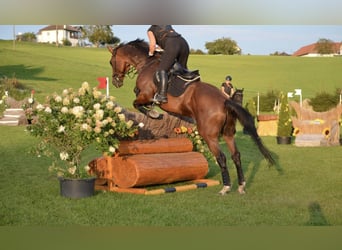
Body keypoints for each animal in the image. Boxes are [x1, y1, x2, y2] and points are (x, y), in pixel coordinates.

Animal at [109, 39, 276, 195]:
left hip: (209, 135)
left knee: (221, 157)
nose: (116, 82)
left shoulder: (145, 95)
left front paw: (153, 113)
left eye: (111, 62)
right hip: (228, 133)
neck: (146, 64)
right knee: (236, 155)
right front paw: (152, 111)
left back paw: (226, 187)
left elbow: (137, 102)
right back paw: (241, 185)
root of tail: (225, 100)